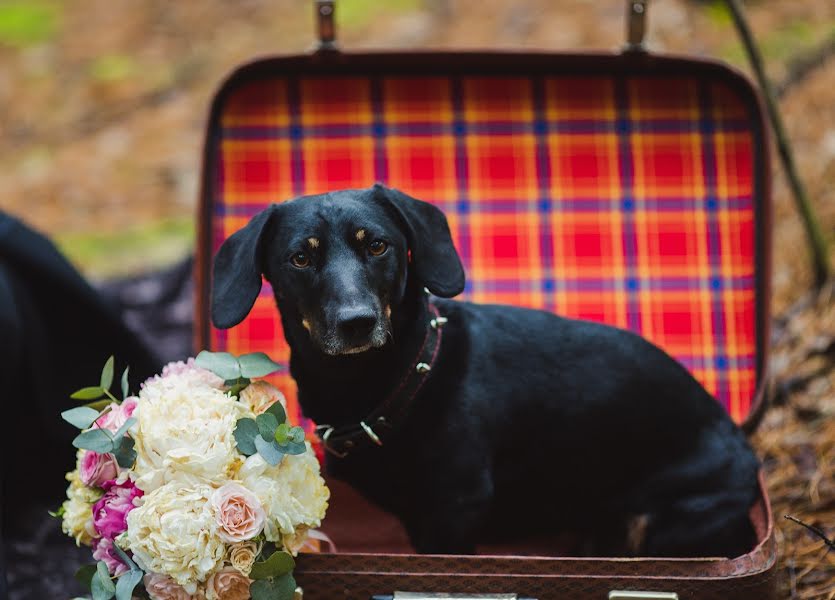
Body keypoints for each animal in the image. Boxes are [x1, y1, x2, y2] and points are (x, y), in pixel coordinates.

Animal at [212, 184, 760, 556]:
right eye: (301, 257)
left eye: (377, 246)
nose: (357, 323)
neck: (395, 380)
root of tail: (745, 452)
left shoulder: (455, 510)